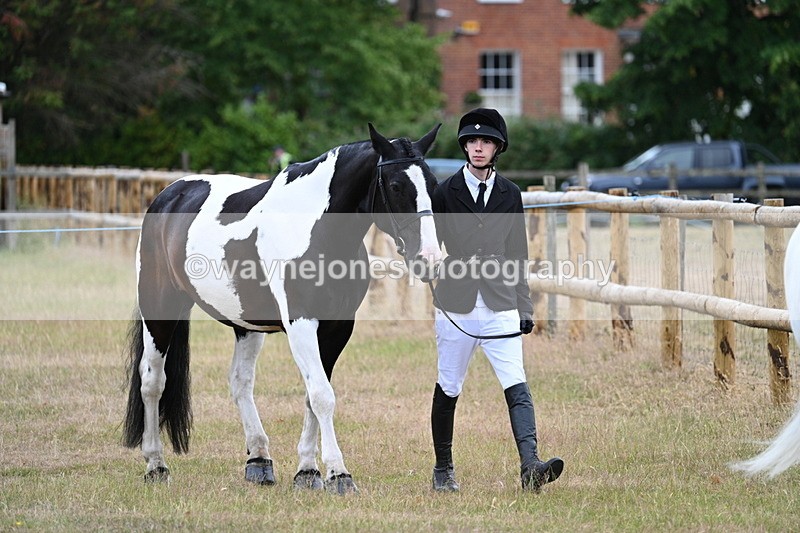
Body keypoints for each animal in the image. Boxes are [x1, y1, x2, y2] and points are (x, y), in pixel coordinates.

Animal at [122, 123, 443, 494]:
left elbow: (312, 395)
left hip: (246, 325)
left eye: (433, 185)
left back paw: (259, 461)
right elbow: (322, 395)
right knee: (152, 381)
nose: (430, 259)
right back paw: (156, 464)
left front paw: (308, 471)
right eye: (395, 186)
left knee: (240, 382)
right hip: (160, 308)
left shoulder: (336, 327)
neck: (316, 230)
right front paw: (339, 473)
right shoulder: (300, 323)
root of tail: (169, 194)